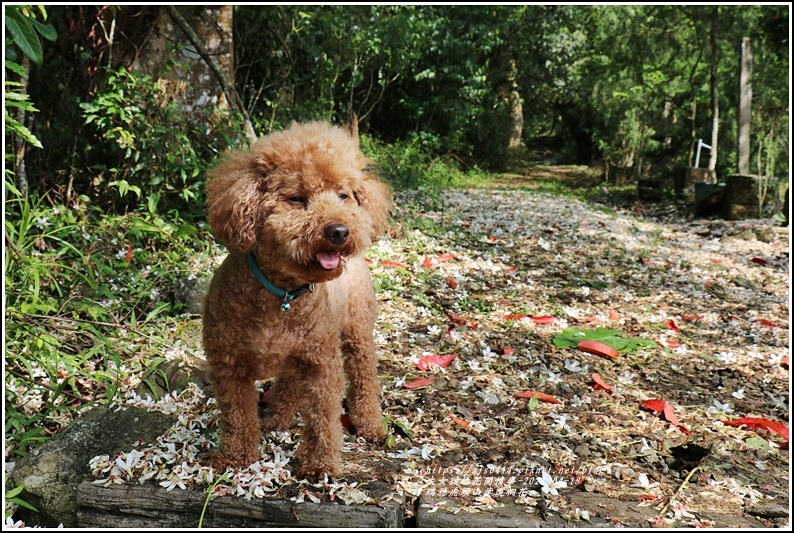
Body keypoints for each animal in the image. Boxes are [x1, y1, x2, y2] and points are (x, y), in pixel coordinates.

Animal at [201, 120, 390, 478]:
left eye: (343, 195)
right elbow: (236, 417)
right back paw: (278, 417)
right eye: (297, 198)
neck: (283, 292)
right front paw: (235, 458)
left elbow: (323, 418)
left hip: (356, 331)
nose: (339, 231)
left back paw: (370, 424)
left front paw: (319, 465)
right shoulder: (228, 366)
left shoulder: (322, 363)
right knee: (289, 381)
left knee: (364, 377)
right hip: (296, 352)